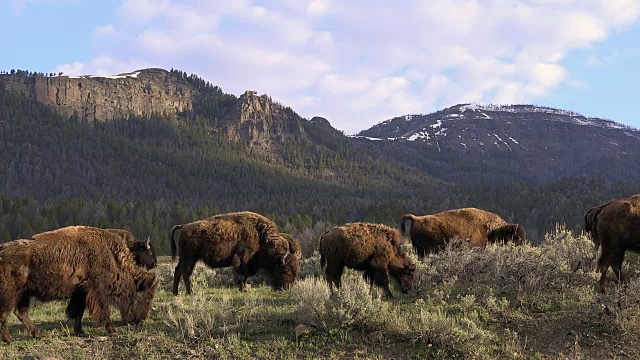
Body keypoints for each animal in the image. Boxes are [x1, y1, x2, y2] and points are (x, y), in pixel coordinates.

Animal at [0, 228, 158, 344]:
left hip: (23, 293)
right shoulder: (97, 291)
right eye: (147, 297)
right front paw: (111, 330)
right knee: (5, 315)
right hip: (11, 294)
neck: (112, 256)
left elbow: (78, 312)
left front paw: (80, 332)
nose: (139, 320)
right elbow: (104, 311)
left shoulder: (81, 293)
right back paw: (10, 339)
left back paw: (37, 334)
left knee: (21, 313)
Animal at [170, 212, 300, 294]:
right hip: (190, 257)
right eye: (286, 270)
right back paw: (189, 292)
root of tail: (183, 226)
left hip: (186, 258)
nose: (287, 287)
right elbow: (242, 274)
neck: (260, 236)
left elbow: (245, 275)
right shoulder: (243, 258)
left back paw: (175, 292)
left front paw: (244, 289)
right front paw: (243, 289)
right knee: (185, 272)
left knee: (178, 270)